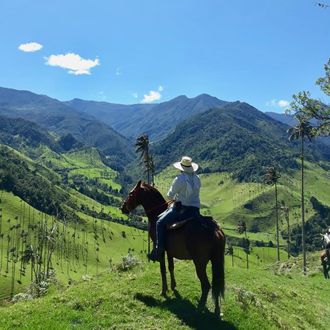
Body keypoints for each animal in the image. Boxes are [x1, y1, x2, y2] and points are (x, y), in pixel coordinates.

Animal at [121, 180, 227, 318]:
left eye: (131, 193)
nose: (122, 207)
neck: (157, 214)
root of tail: (215, 230)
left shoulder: (160, 249)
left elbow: (162, 269)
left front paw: (163, 291)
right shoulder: (170, 251)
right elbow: (171, 267)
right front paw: (173, 286)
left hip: (199, 263)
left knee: (206, 285)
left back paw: (199, 308)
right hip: (216, 261)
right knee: (216, 284)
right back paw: (217, 310)